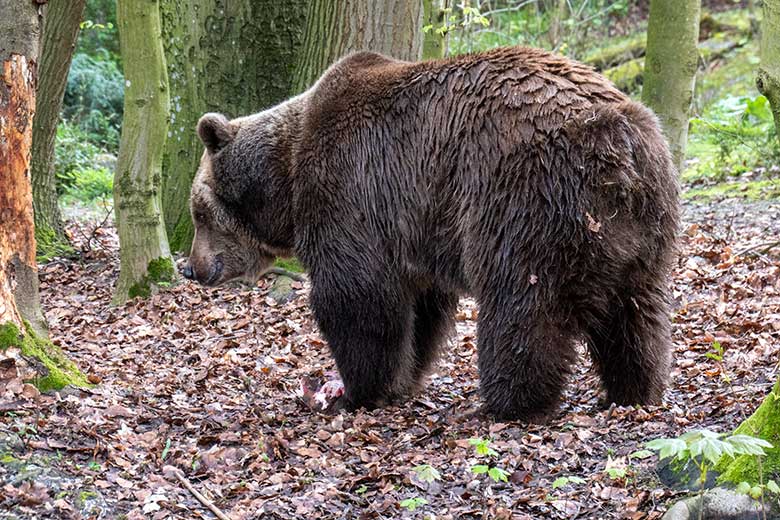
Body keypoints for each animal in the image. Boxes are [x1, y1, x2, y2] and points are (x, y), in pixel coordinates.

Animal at [181, 47, 676, 422]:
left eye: (197, 213)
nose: (192, 268)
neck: (285, 179)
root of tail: (615, 136)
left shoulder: (350, 191)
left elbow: (356, 297)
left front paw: (357, 389)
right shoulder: (414, 231)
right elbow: (421, 309)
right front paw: (403, 379)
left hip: (524, 197)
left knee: (523, 305)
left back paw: (509, 402)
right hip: (639, 223)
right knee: (637, 312)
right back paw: (634, 389)